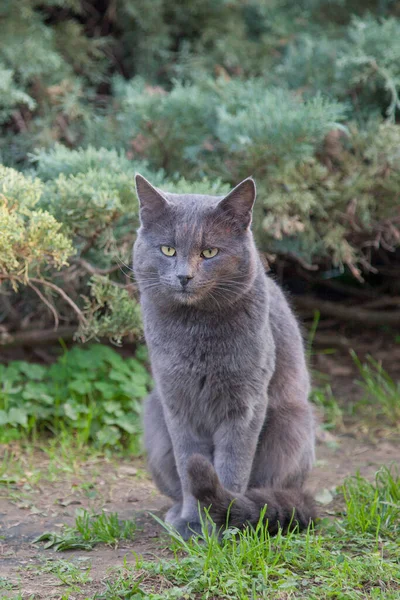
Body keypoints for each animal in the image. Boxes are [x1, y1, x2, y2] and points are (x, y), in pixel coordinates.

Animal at [134, 173, 316, 540]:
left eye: (210, 252)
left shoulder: (245, 403)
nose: (184, 276)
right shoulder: (177, 401)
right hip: (154, 418)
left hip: (294, 423)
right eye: (168, 249)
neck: (195, 330)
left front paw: (223, 523)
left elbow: (232, 465)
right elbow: (188, 461)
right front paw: (192, 522)